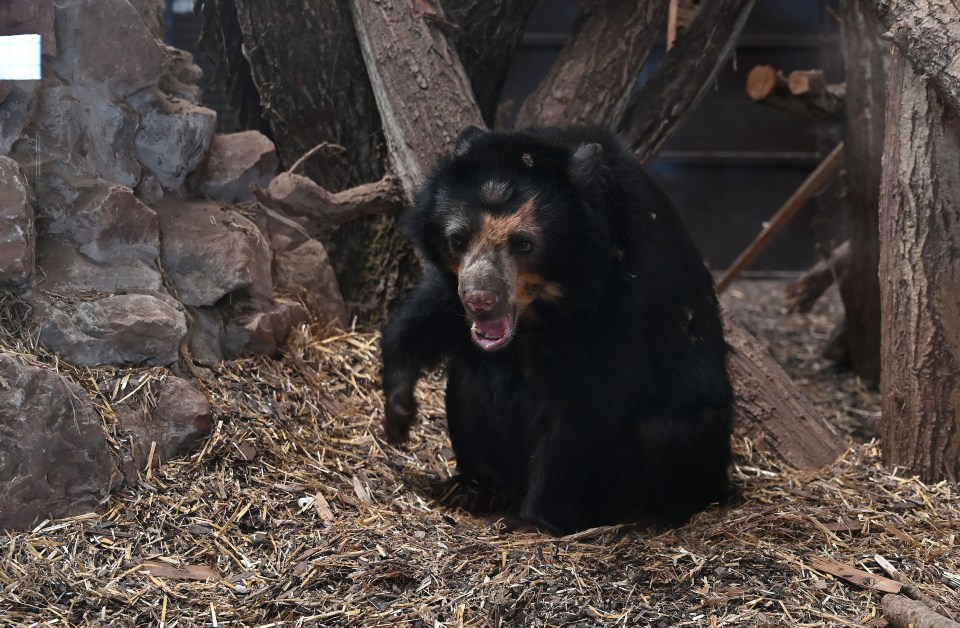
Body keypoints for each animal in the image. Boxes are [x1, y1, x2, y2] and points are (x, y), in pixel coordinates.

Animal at [378, 125, 732, 532]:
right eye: (458, 239)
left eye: (524, 244)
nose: (481, 301)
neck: (545, 307)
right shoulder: (455, 285)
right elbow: (428, 314)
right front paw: (399, 412)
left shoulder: (621, 299)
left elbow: (587, 406)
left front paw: (532, 523)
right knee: (467, 380)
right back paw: (474, 489)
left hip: (687, 440)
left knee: (669, 432)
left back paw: (648, 516)